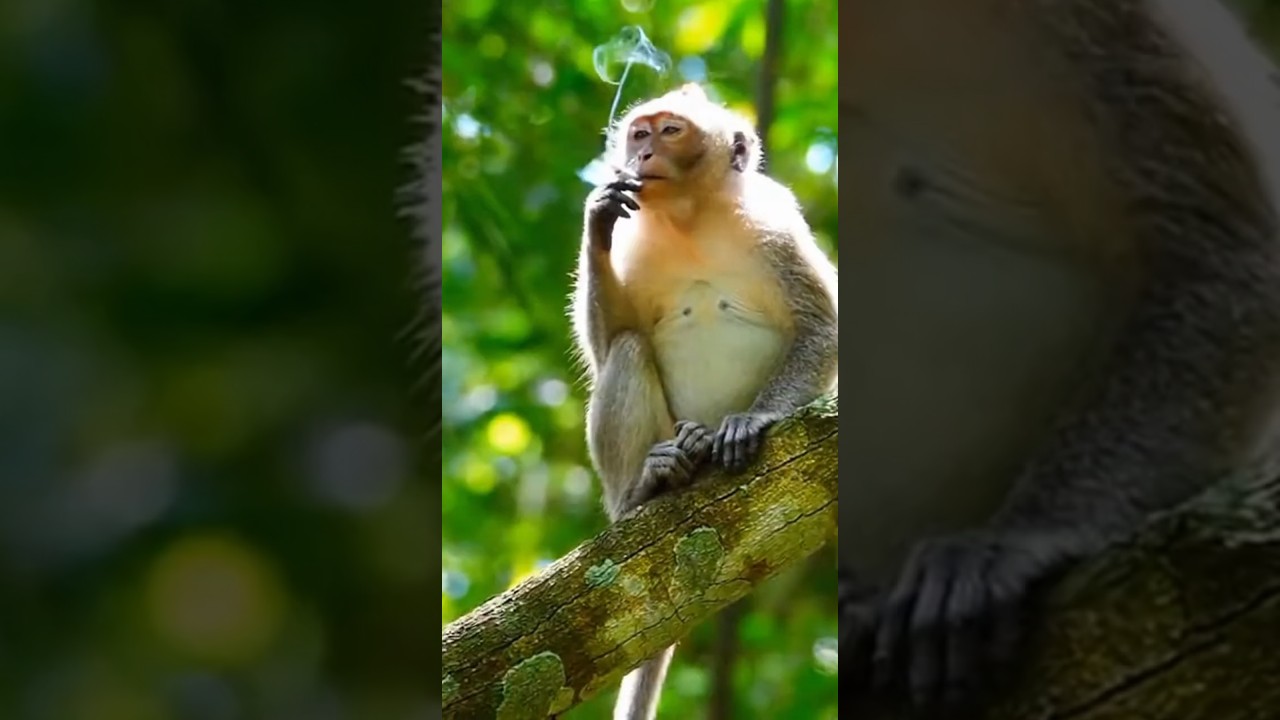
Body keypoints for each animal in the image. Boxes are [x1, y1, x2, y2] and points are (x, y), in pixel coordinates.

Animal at [569, 83, 839, 720]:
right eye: (639, 133)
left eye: (671, 132)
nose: (642, 155)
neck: (689, 218)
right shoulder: (637, 240)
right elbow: (607, 343)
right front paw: (597, 214)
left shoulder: (777, 228)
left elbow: (824, 327)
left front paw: (753, 419)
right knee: (629, 348)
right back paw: (648, 487)